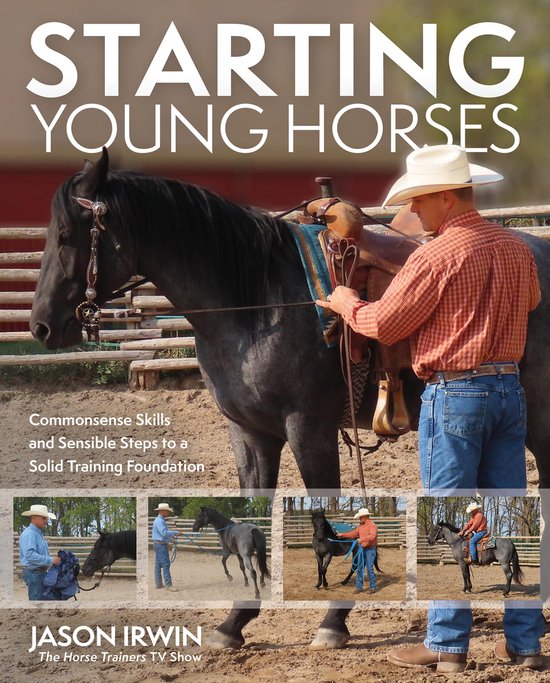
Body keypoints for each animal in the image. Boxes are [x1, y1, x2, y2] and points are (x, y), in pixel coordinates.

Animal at [28, 148, 550, 649]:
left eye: (66, 236)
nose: (42, 326)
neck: (258, 305)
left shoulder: (309, 429)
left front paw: (333, 622)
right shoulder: (250, 434)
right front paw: (235, 622)